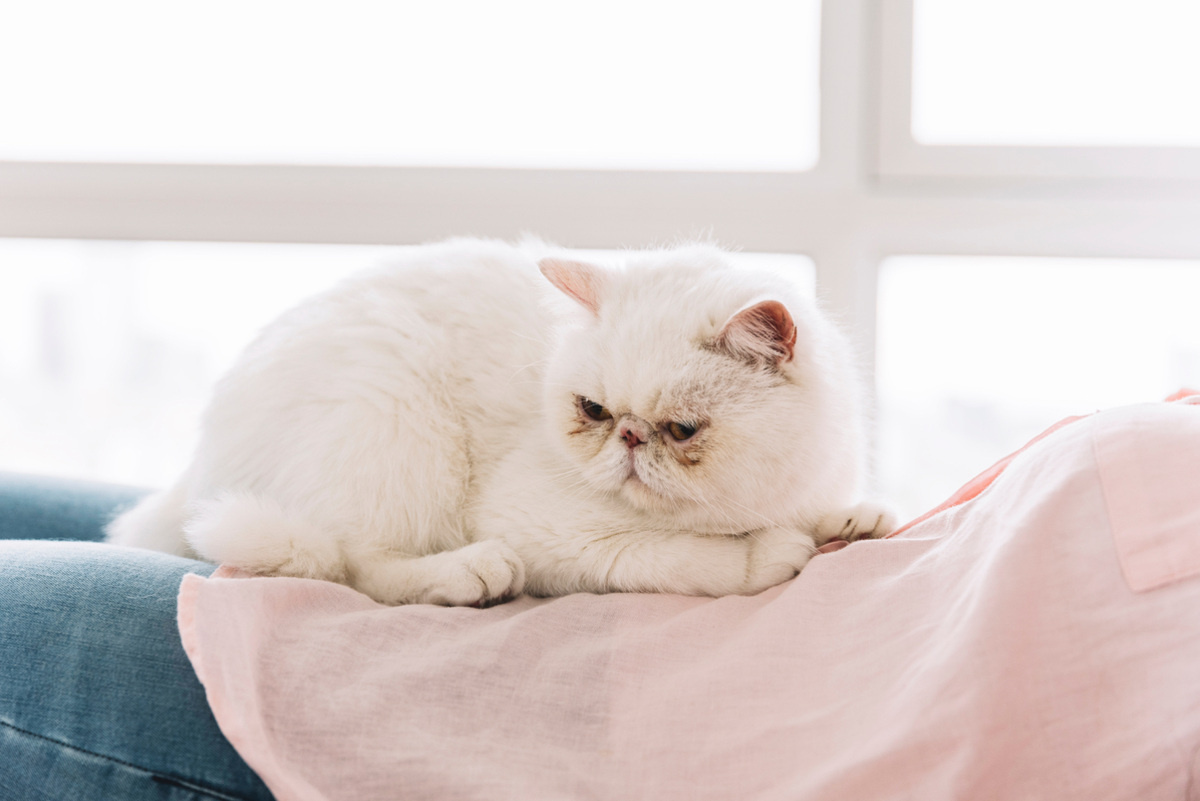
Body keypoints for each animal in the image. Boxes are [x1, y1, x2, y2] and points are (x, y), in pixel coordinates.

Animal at [105, 237, 892, 606]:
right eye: (594, 411)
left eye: (681, 431)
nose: (628, 437)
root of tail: (194, 469)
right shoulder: (543, 526)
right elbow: (671, 558)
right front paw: (768, 553)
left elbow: (830, 511)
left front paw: (854, 521)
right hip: (395, 421)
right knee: (351, 566)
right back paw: (470, 575)